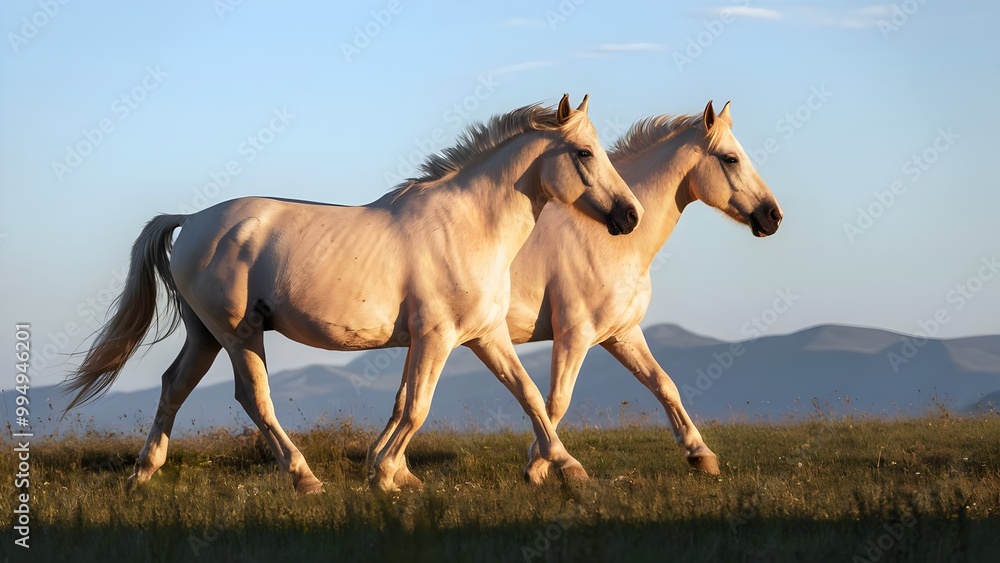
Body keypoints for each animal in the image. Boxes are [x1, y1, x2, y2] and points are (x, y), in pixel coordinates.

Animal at [64, 94, 643, 494]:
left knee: (174, 387)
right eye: (584, 152)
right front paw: (386, 474)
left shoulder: (483, 335)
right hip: (237, 333)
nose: (630, 216)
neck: (466, 227)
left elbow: (525, 396)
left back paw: (143, 474)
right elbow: (418, 406)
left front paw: (566, 467)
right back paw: (304, 479)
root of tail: (193, 220)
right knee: (253, 398)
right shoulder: (437, 337)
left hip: (205, 335)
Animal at [369, 101, 782, 487]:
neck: (609, 241)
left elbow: (664, 385)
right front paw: (541, 466)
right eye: (730, 158)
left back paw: (383, 462)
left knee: (403, 400)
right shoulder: (575, 335)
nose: (773, 216)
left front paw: (701, 455)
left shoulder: (621, 334)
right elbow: (555, 401)